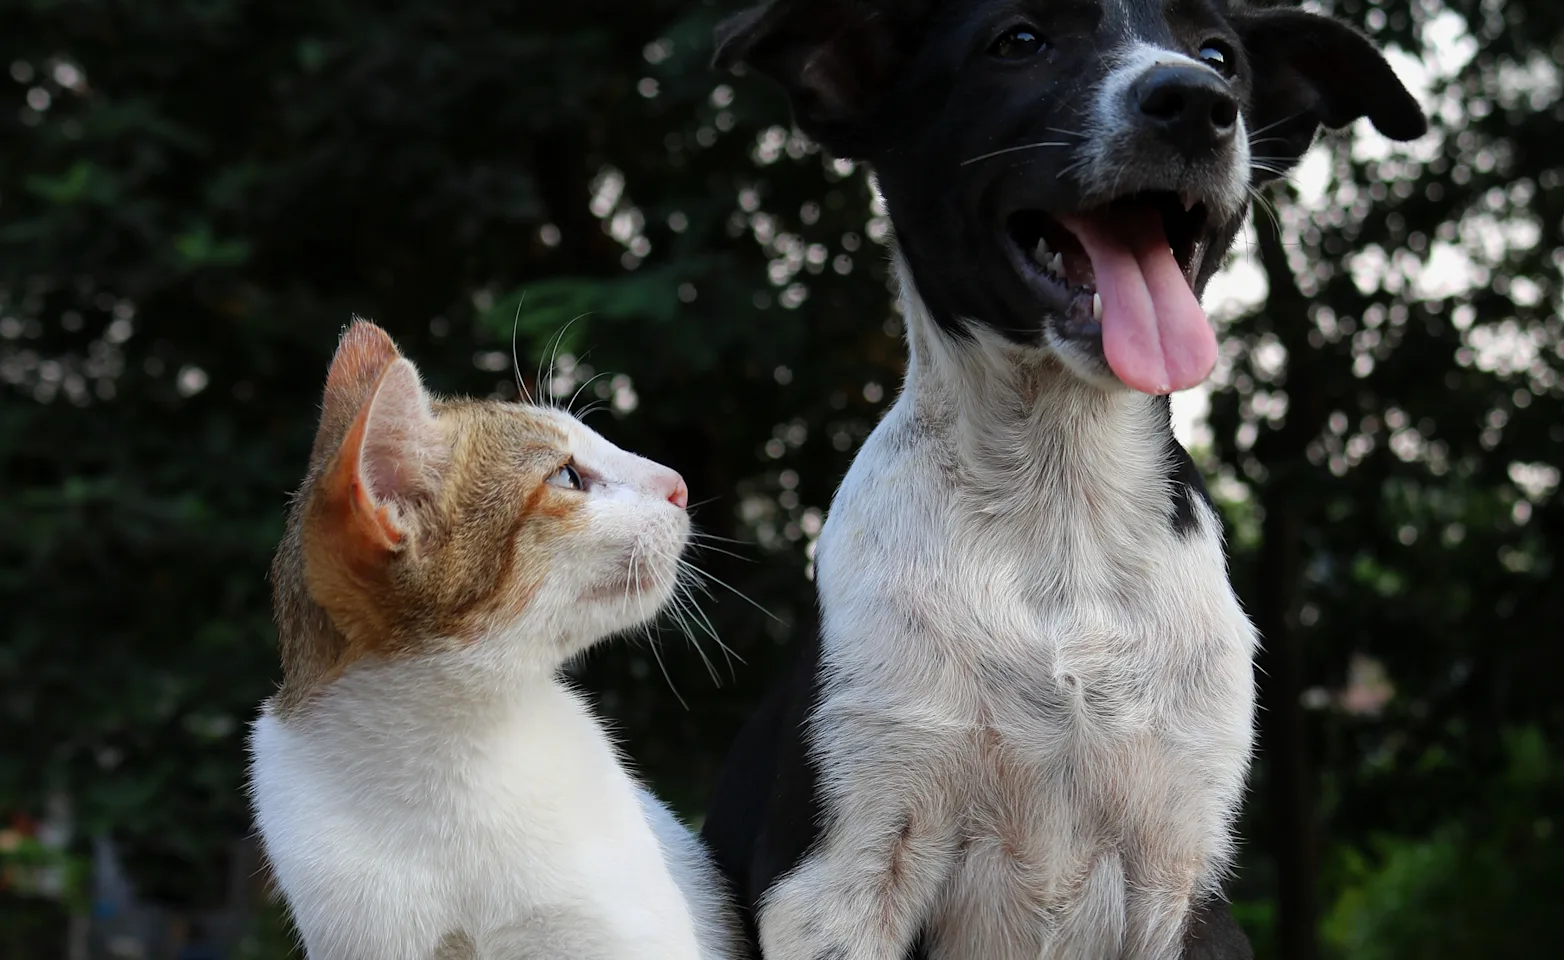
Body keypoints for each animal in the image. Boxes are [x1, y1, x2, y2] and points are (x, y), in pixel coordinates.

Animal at [703, 1, 1426, 960]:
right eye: (1018, 42)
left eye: (1219, 57)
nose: (1195, 104)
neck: (1060, 511)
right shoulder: (836, 881)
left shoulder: (1184, 881)